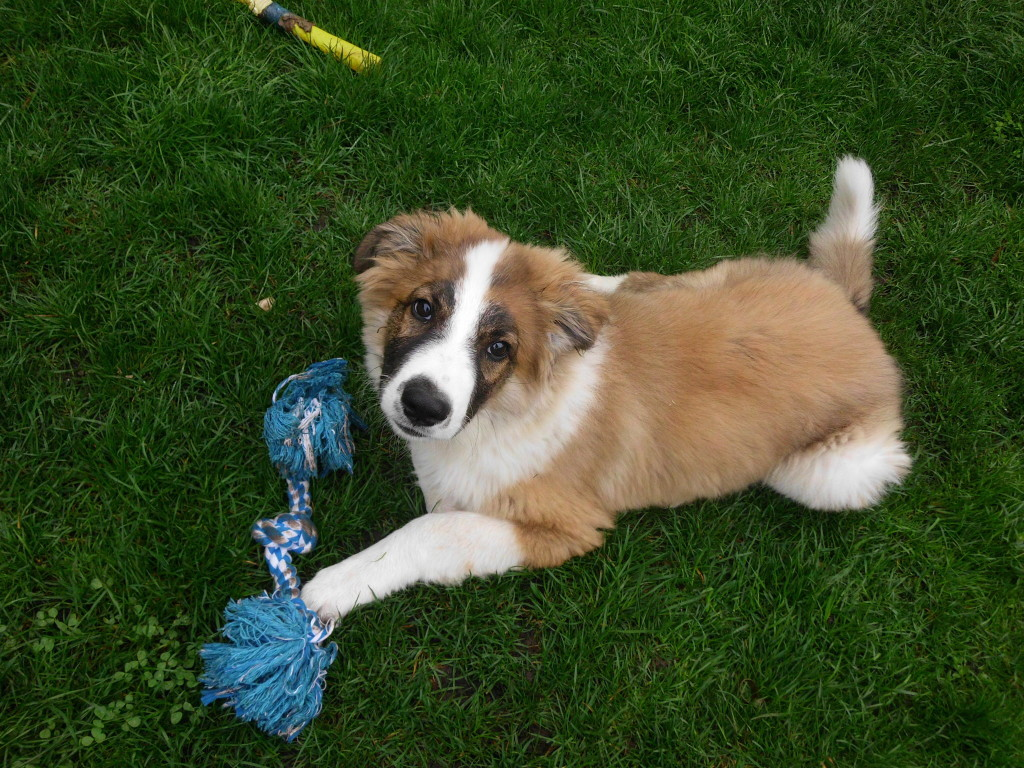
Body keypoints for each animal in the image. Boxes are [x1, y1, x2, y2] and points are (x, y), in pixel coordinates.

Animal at [301, 157, 911, 621]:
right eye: (424, 308)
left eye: (499, 348)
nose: (423, 406)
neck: (509, 407)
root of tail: (846, 306)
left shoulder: (565, 526)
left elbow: (432, 530)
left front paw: (330, 588)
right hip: (715, 275)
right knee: (623, 283)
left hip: (829, 472)